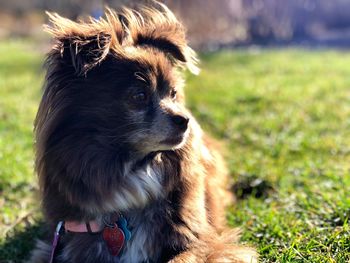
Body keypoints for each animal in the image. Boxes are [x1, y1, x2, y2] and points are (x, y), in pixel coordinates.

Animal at [30, 2, 258, 263]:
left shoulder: (203, 241)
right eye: (139, 96)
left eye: (173, 94)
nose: (186, 120)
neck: (133, 168)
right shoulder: (62, 244)